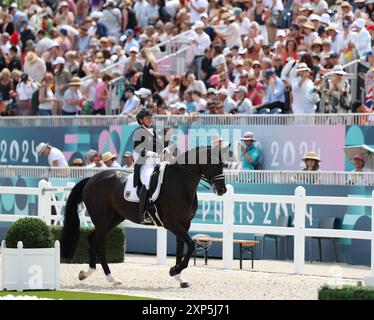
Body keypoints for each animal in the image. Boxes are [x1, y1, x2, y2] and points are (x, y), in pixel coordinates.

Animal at [60, 145, 229, 288]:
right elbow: (191, 245)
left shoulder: (184, 223)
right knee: (98, 242)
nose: (223, 190)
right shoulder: (172, 223)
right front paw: (173, 270)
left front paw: (179, 277)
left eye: (223, 164)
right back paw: (111, 278)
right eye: (215, 164)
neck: (180, 183)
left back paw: (87, 273)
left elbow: (181, 247)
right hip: (102, 219)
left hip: (113, 219)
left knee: (92, 239)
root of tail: (92, 179)